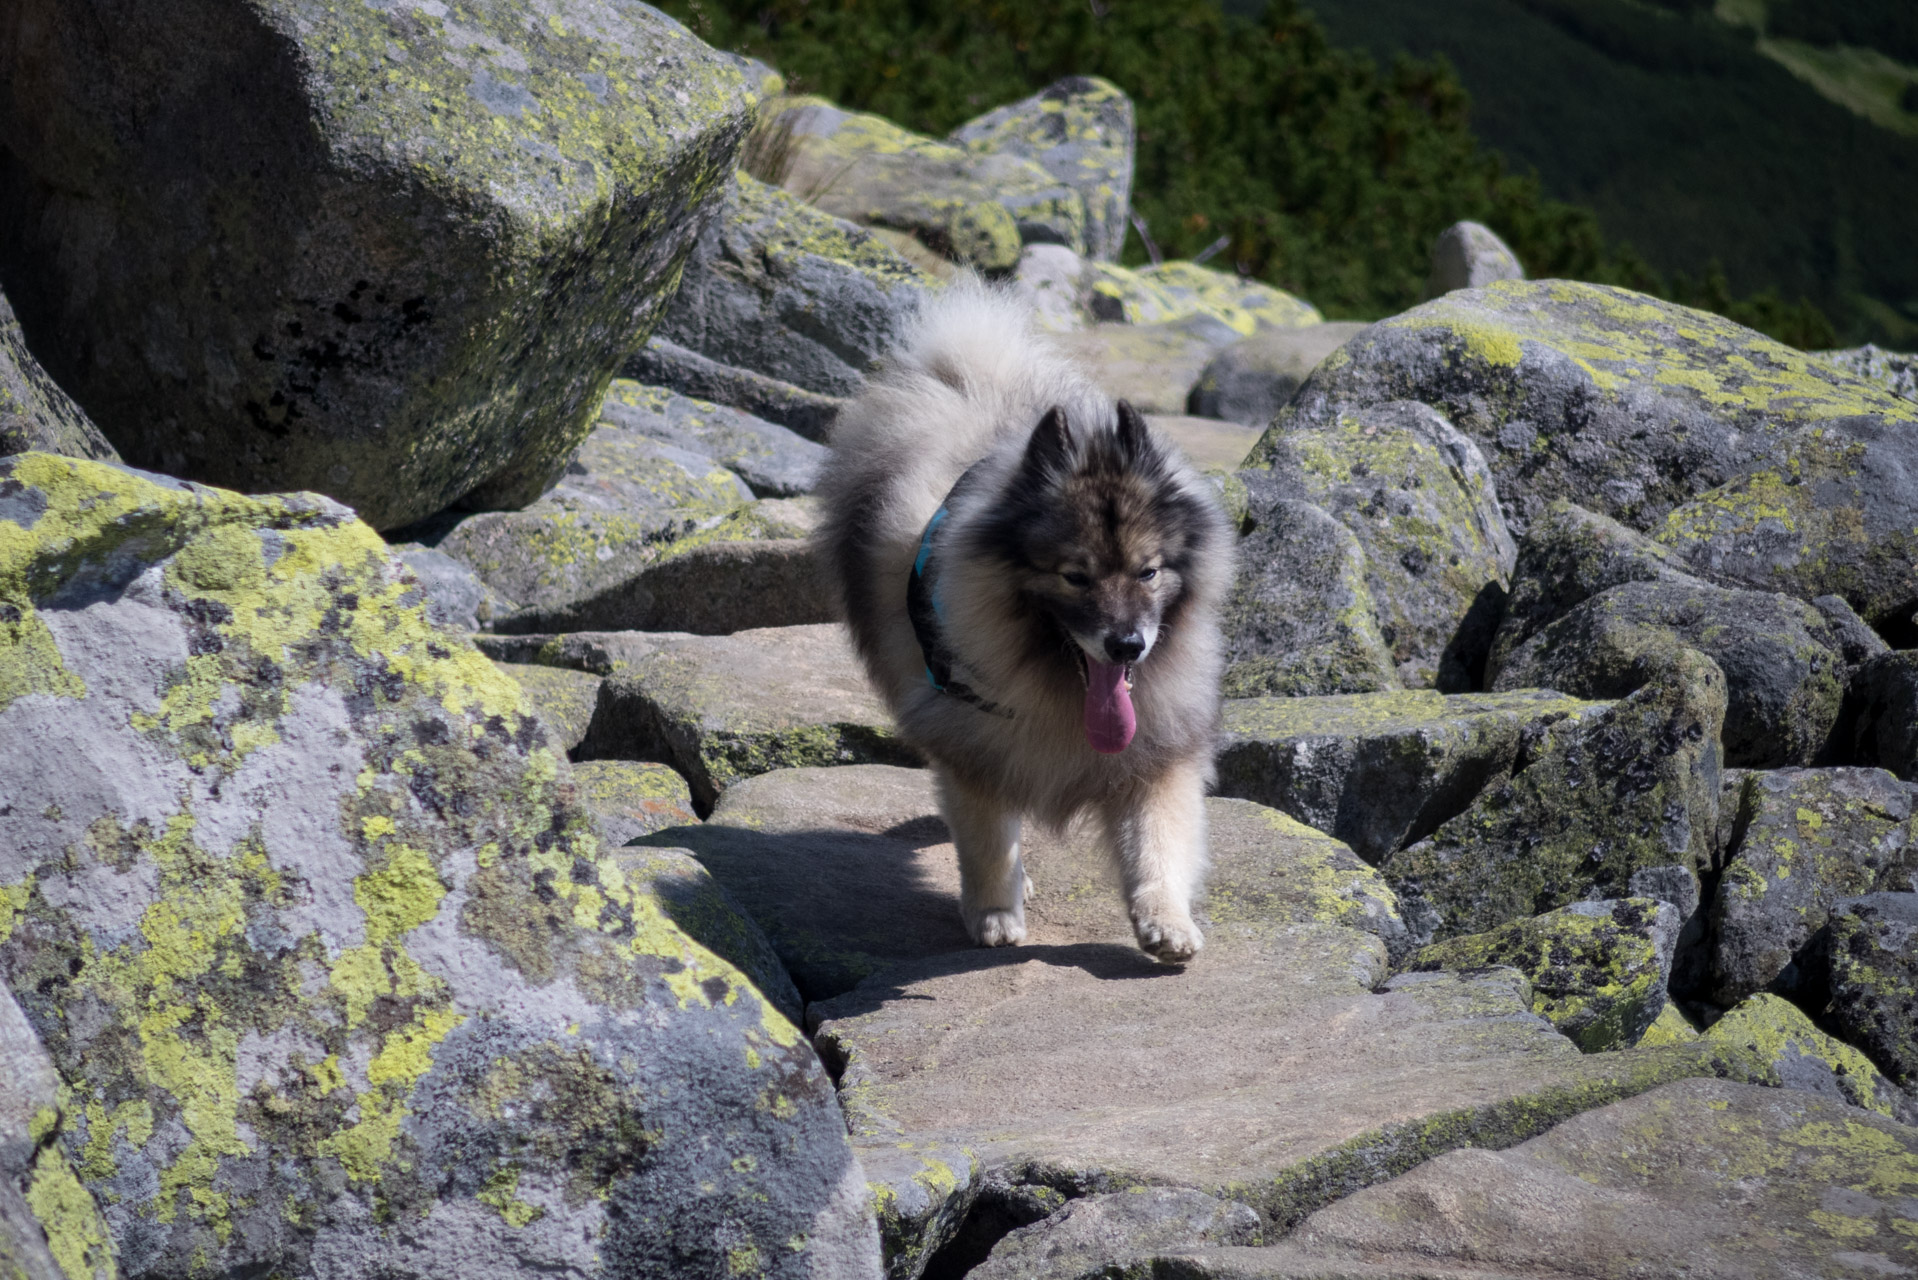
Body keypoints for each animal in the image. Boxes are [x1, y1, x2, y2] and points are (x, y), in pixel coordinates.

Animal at [817, 282, 1235, 959]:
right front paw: (993, 913)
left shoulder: (1159, 752)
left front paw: (1166, 922)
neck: (1061, 688)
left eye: (1148, 572)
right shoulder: (974, 748)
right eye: (1075, 576)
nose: (1127, 645)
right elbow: (990, 841)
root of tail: (971, 387)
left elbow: (1158, 843)